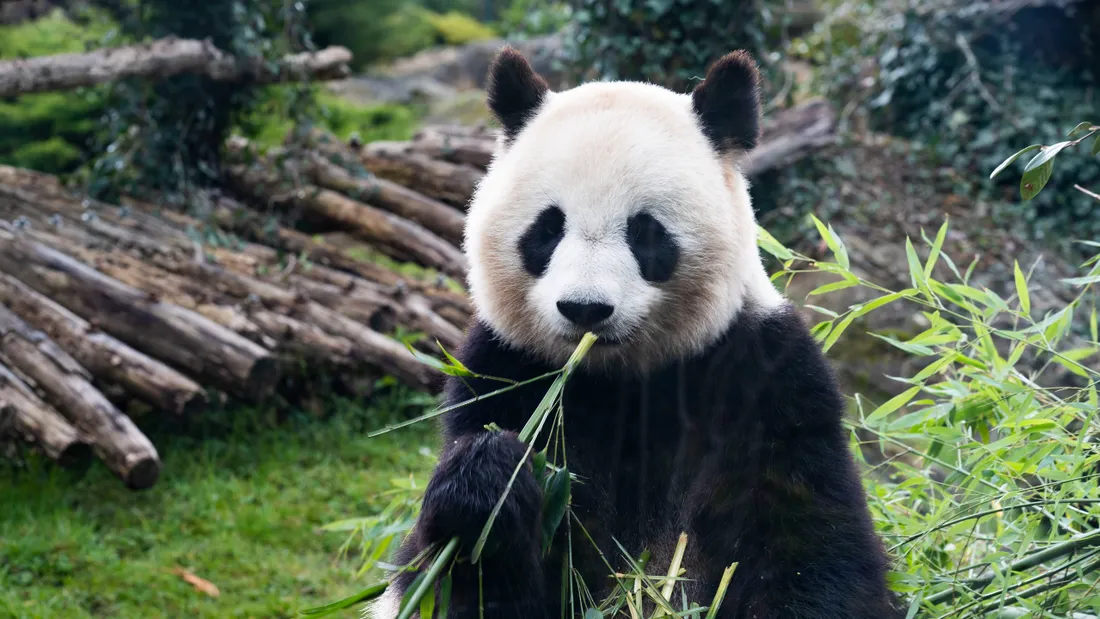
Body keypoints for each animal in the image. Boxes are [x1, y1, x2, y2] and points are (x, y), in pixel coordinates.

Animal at [372, 46, 902, 619]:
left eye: (645, 231)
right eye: (547, 228)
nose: (584, 309)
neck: (621, 378)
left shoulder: (764, 379)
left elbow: (809, 545)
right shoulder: (504, 369)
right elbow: (451, 581)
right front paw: (487, 484)